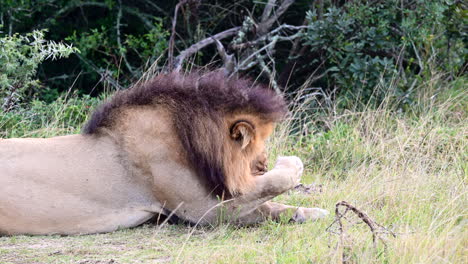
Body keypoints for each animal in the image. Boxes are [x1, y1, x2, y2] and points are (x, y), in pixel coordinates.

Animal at [0, 70, 330, 235]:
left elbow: (272, 207)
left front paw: (311, 212)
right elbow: (277, 182)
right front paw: (290, 164)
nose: (262, 163)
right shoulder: (203, 210)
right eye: (258, 147)